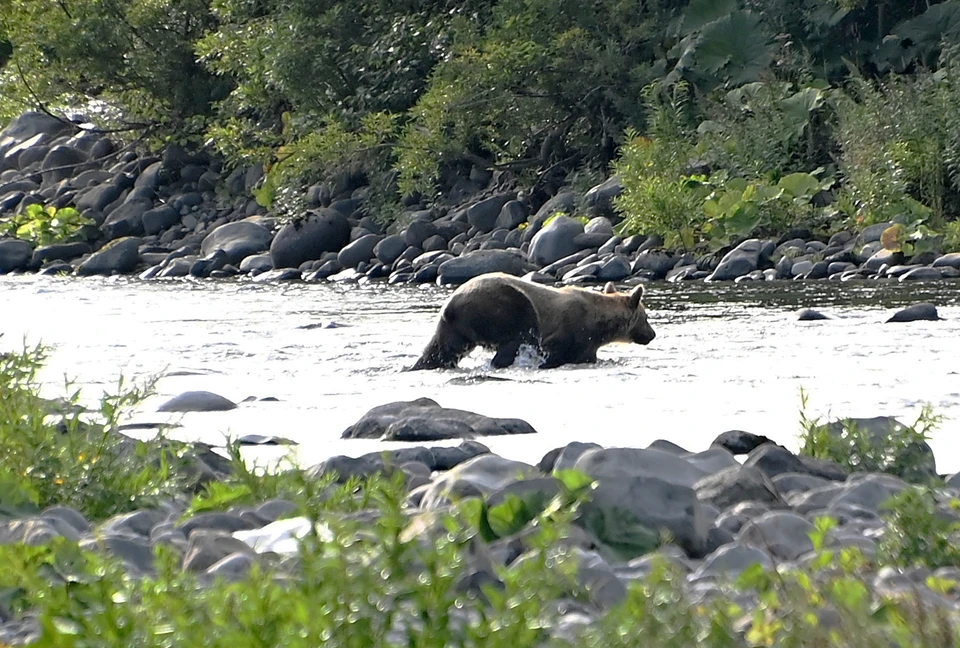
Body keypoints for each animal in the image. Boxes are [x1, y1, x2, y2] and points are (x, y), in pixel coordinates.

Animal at [410, 272, 655, 370]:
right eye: (646, 317)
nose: (652, 334)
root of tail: (451, 306)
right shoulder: (568, 329)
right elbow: (556, 351)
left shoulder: (586, 345)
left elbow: (584, 356)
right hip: (504, 307)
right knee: (516, 336)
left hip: (454, 330)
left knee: (439, 351)